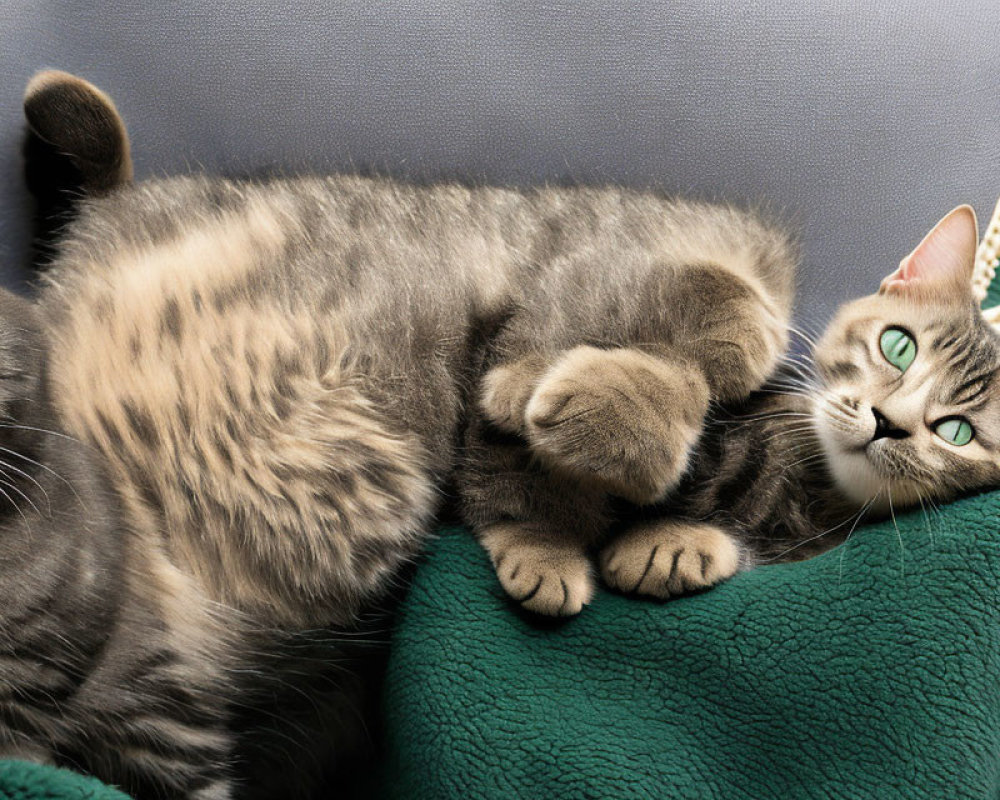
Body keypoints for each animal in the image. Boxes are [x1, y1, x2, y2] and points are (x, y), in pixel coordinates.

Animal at [1, 72, 1000, 796]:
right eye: (896, 346)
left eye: (961, 430)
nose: (891, 424)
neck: (789, 469)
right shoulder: (656, 247)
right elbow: (721, 317)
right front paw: (557, 411)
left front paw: (667, 538)